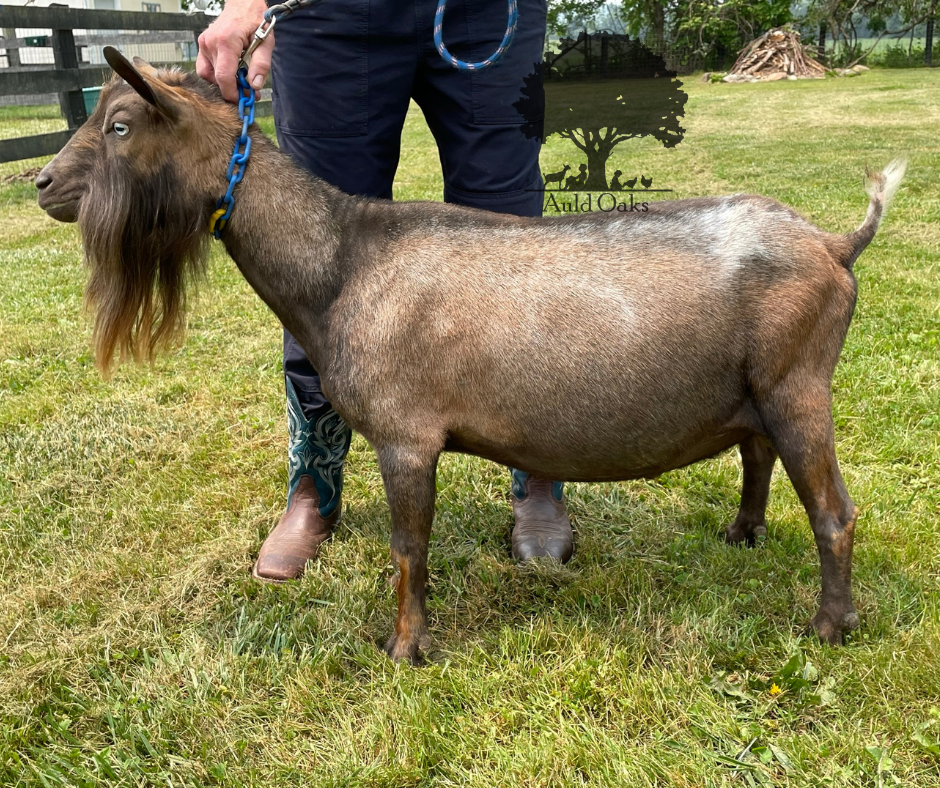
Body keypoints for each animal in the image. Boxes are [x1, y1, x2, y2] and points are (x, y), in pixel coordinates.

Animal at [36, 49, 904, 660]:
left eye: (119, 126)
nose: (42, 183)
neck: (344, 262)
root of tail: (835, 243)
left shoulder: (407, 436)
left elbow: (407, 548)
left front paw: (403, 647)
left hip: (800, 384)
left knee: (834, 513)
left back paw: (830, 626)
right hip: (757, 389)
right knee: (757, 454)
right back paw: (742, 535)